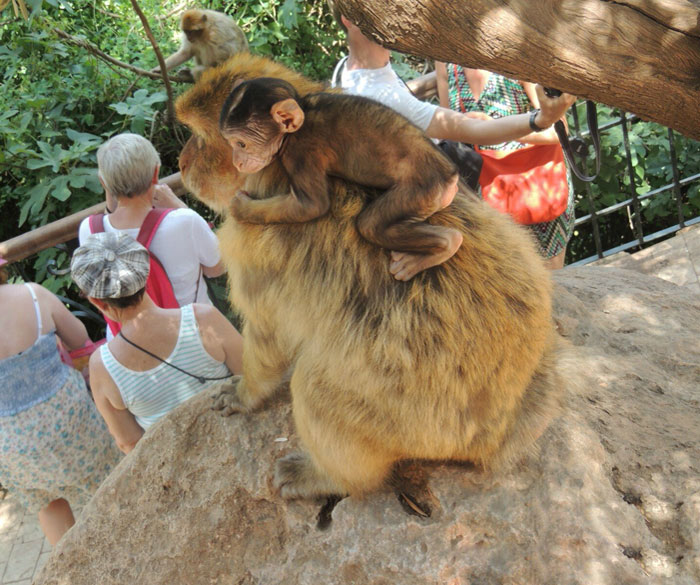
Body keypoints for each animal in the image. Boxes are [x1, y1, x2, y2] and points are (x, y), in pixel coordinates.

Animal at [217, 77, 460, 280]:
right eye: (231, 144)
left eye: (241, 144)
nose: (237, 162)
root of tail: (452, 177)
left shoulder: (301, 153)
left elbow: (311, 205)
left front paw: (241, 207)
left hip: (424, 190)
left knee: (372, 224)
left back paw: (445, 245)